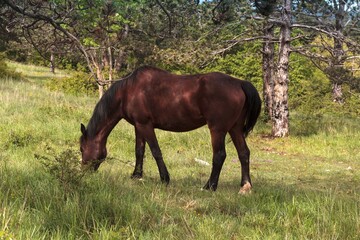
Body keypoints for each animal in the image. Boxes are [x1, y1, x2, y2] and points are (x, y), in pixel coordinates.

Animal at [80, 65, 262, 193]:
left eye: (82, 149)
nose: (83, 172)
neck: (128, 91)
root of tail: (239, 83)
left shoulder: (146, 125)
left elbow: (155, 151)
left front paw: (164, 178)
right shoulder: (139, 126)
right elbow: (139, 151)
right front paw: (136, 175)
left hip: (218, 129)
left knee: (219, 155)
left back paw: (209, 186)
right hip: (235, 128)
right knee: (244, 153)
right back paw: (245, 185)